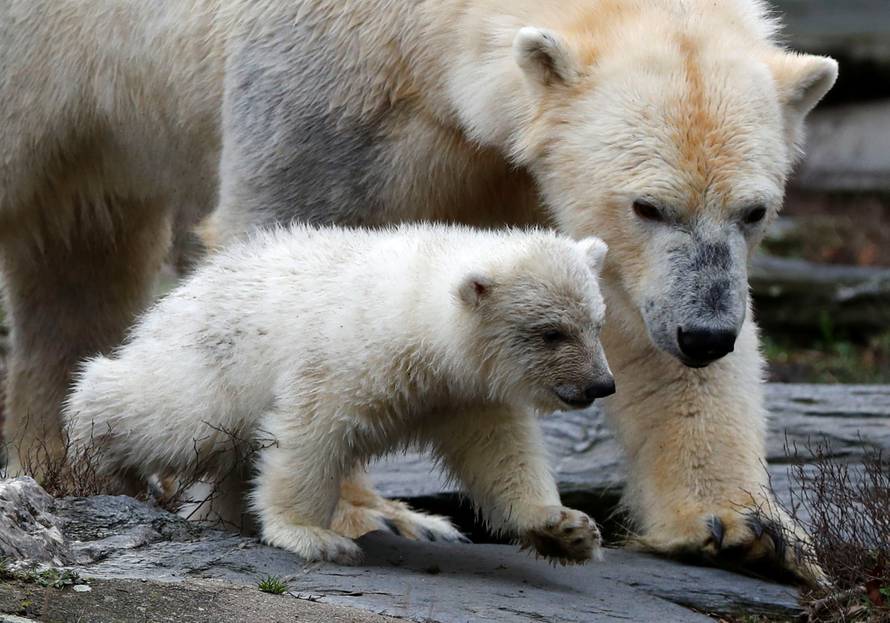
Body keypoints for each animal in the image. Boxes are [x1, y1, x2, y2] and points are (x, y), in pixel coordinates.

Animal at [63, 224, 614, 564]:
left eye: (595, 323)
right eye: (551, 333)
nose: (601, 385)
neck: (416, 316)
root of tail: (180, 293)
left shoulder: (465, 393)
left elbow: (501, 453)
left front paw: (566, 530)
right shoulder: (348, 357)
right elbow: (310, 434)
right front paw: (315, 537)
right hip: (214, 361)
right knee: (171, 414)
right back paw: (95, 451)